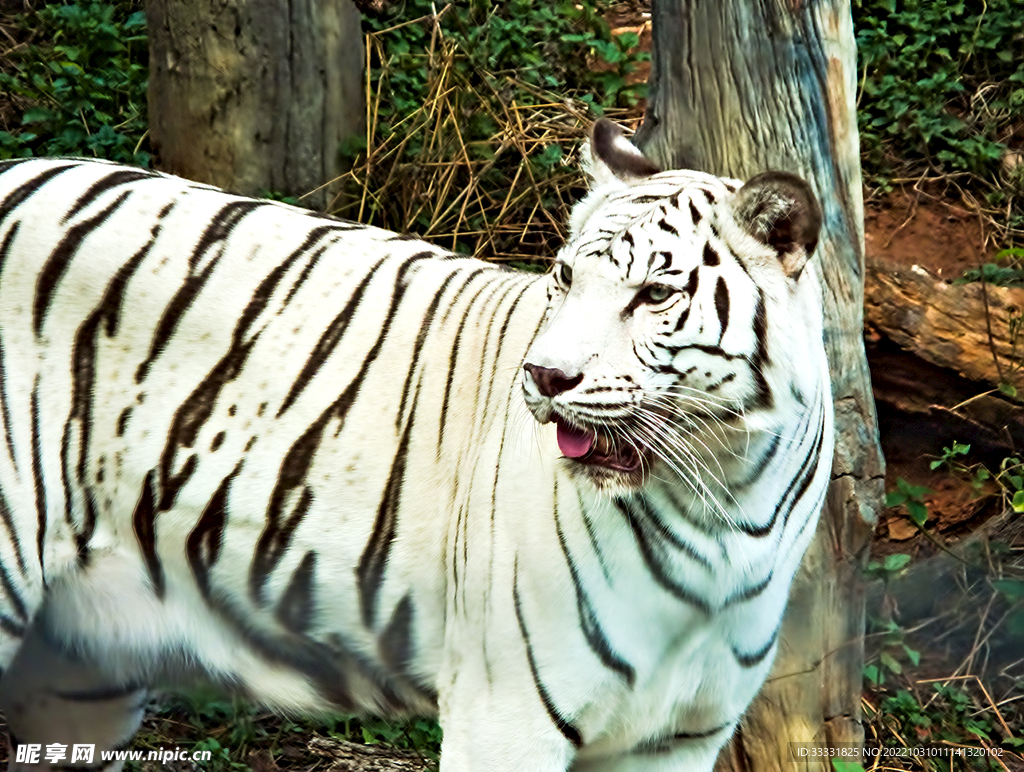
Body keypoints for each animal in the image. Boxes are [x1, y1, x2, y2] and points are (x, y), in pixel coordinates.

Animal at [0, 118, 833, 772]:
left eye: (655, 295)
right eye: (565, 277)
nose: (544, 375)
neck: (724, 502)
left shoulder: (680, 740)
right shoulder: (506, 719)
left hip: (79, 680)